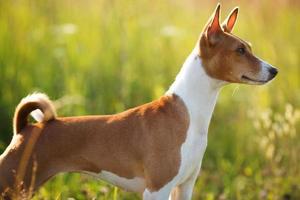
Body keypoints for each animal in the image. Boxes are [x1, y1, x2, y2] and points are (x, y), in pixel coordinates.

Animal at [0, 3, 278, 200]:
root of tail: (24, 129)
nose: (274, 70)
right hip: (11, 185)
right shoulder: (157, 189)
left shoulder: (184, 187)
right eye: (240, 51)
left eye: (249, 47)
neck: (188, 115)